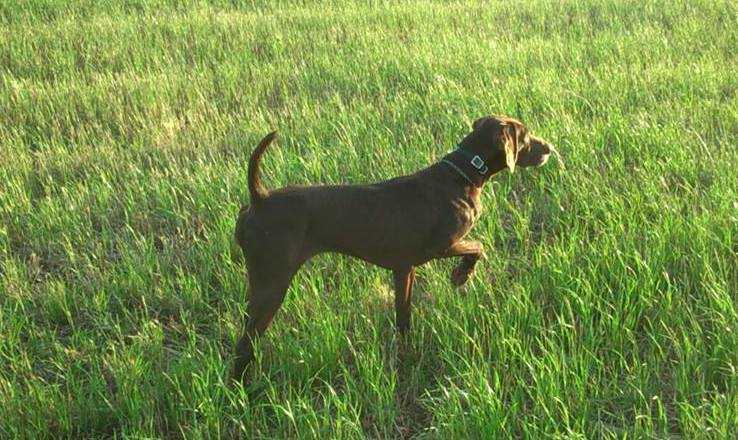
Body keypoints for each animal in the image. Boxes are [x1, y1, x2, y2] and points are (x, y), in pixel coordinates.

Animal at [231, 115, 552, 380]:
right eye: (525, 135)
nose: (549, 148)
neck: (463, 174)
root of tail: (259, 199)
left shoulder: (403, 269)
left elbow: (403, 317)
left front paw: (405, 353)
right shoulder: (438, 246)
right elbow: (478, 246)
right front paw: (461, 276)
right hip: (272, 285)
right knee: (243, 344)